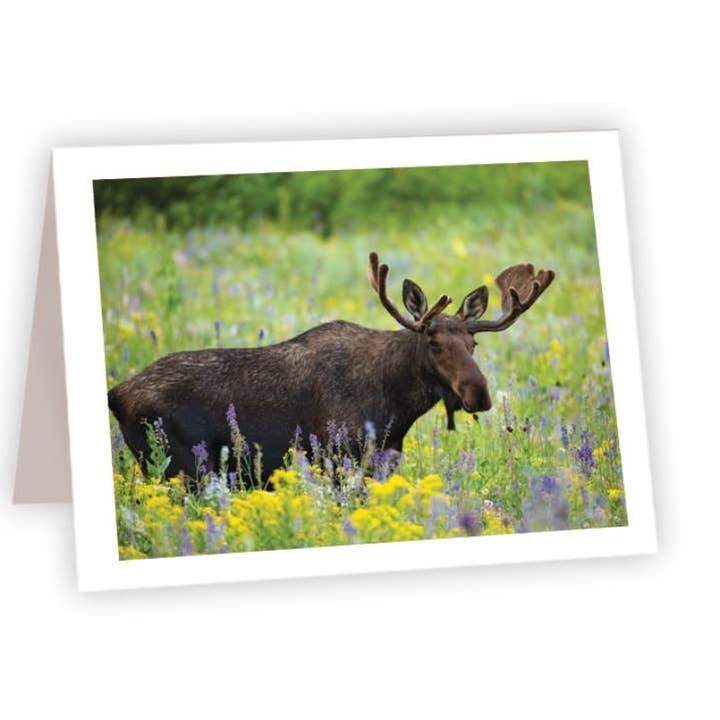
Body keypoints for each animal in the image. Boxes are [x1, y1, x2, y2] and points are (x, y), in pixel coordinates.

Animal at [108, 252, 554, 488]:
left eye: (473, 344)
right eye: (433, 341)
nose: (478, 393)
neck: (396, 409)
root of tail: (115, 394)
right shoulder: (337, 458)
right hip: (178, 468)